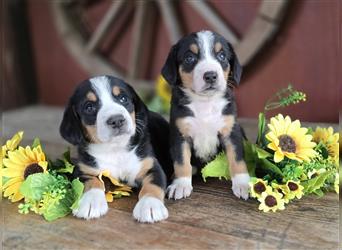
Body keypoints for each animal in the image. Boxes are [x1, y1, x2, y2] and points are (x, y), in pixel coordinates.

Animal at [59, 74, 172, 223]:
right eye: (89, 107)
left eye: (123, 99)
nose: (117, 120)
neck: (115, 149)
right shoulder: (84, 170)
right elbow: (91, 183)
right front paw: (90, 202)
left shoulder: (151, 166)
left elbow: (152, 186)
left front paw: (150, 205)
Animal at [162, 30, 250, 200]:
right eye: (189, 58)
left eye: (222, 56)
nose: (210, 75)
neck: (205, 103)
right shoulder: (180, 135)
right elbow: (181, 162)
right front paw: (180, 184)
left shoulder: (231, 131)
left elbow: (237, 159)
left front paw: (243, 184)